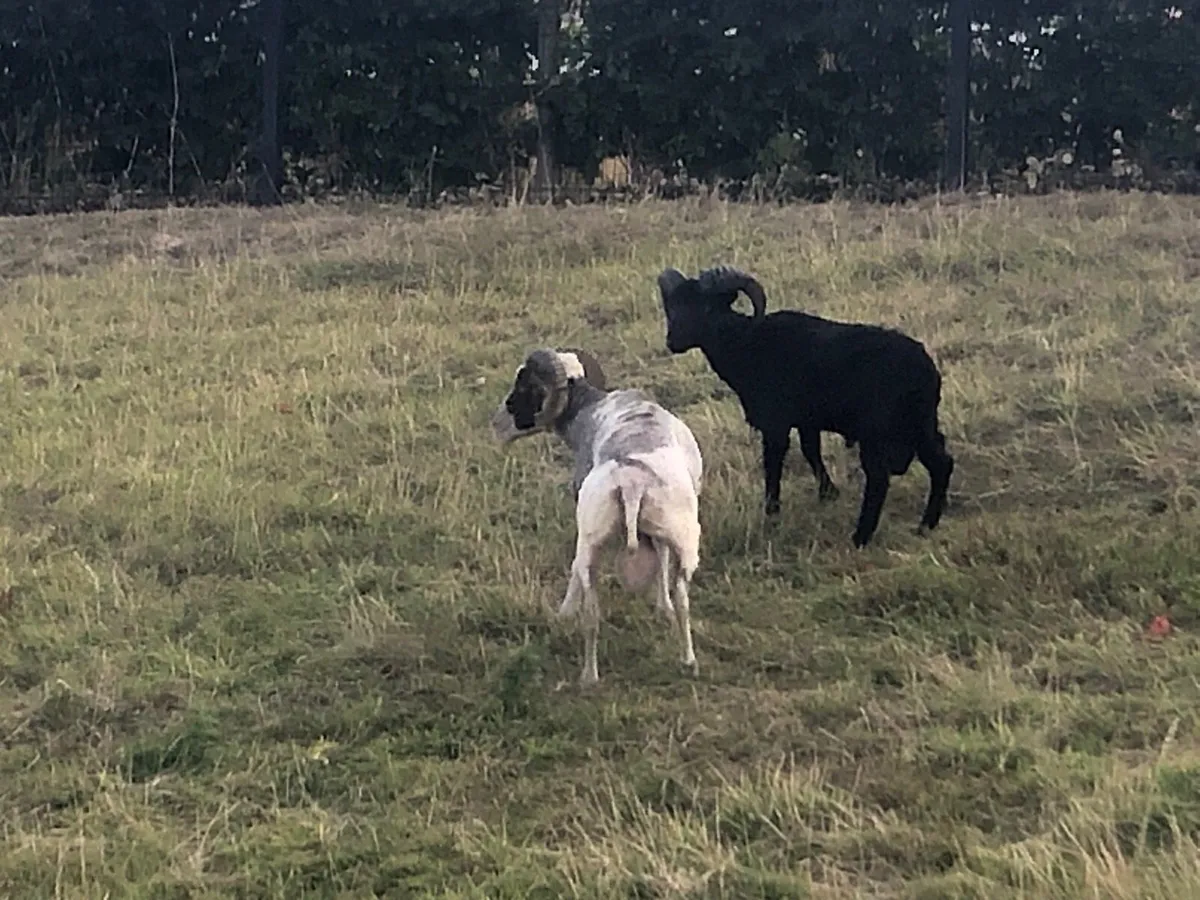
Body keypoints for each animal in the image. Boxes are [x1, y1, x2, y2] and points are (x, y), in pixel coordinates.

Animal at [490, 347, 704, 685]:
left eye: (523, 388)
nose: (496, 425)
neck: (590, 410)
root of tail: (632, 483)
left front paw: (563, 613)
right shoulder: (663, 536)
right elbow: (662, 560)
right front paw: (663, 608)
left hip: (591, 540)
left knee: (589, 606)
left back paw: (589, 676)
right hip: (685, 541)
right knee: (682, 599)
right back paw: (688, 661)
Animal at [657, 265, 954, 548]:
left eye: (707, 307)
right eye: (672, 307)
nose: (672, 342)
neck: (745, 342)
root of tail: (924, 371)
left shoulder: (775, 423)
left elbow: (773, 465)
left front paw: (772, 512)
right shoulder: (807, 421)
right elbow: (811, 452)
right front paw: (828, 493)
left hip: (878, 432)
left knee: (879, 479)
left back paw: (861, 537)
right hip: (921, 424)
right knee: (942, 463)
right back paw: (927, 524)